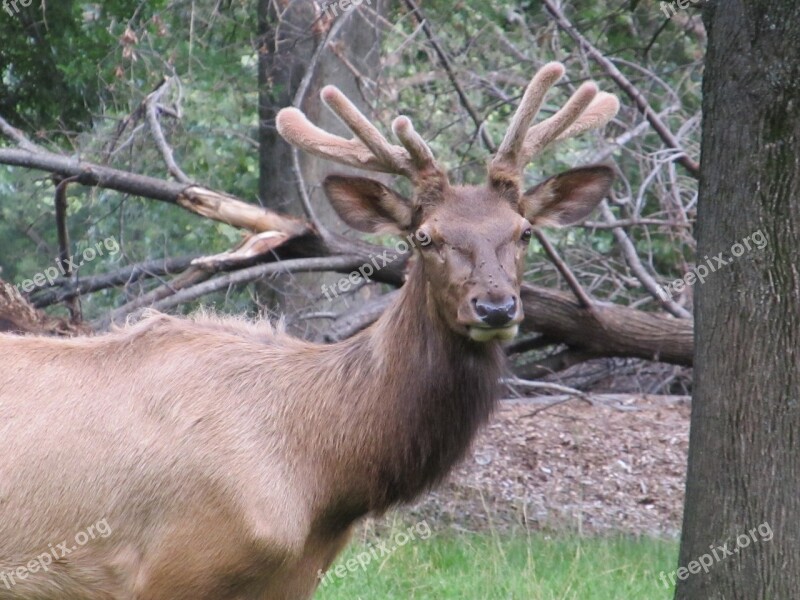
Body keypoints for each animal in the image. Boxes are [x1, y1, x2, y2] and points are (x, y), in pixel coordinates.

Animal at [0, 63, 620, 596]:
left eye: (523, 233)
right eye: (426, 237)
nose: (494, 307)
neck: (319, 477)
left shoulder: (293, 579)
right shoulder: (169, 567)